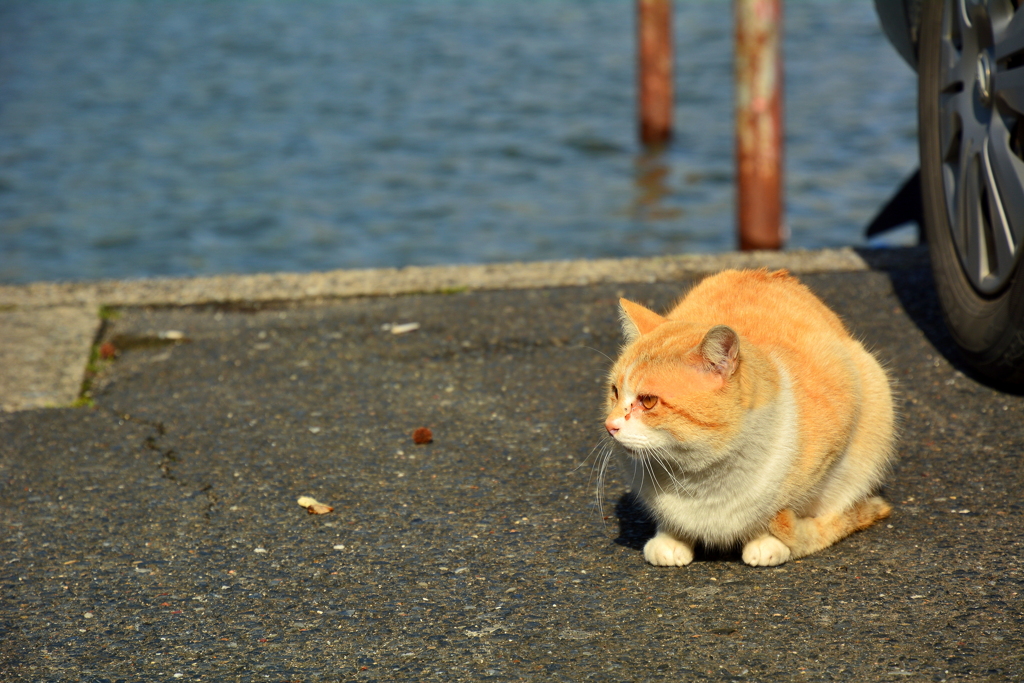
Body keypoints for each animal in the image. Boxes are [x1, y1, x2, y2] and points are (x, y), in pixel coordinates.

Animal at [602, 270, 892, 569]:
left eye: (648, 401)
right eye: (615, 392)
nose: (610, 426)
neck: (696, 476)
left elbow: (786, 510)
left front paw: (766, 541)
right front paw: (671, 538)